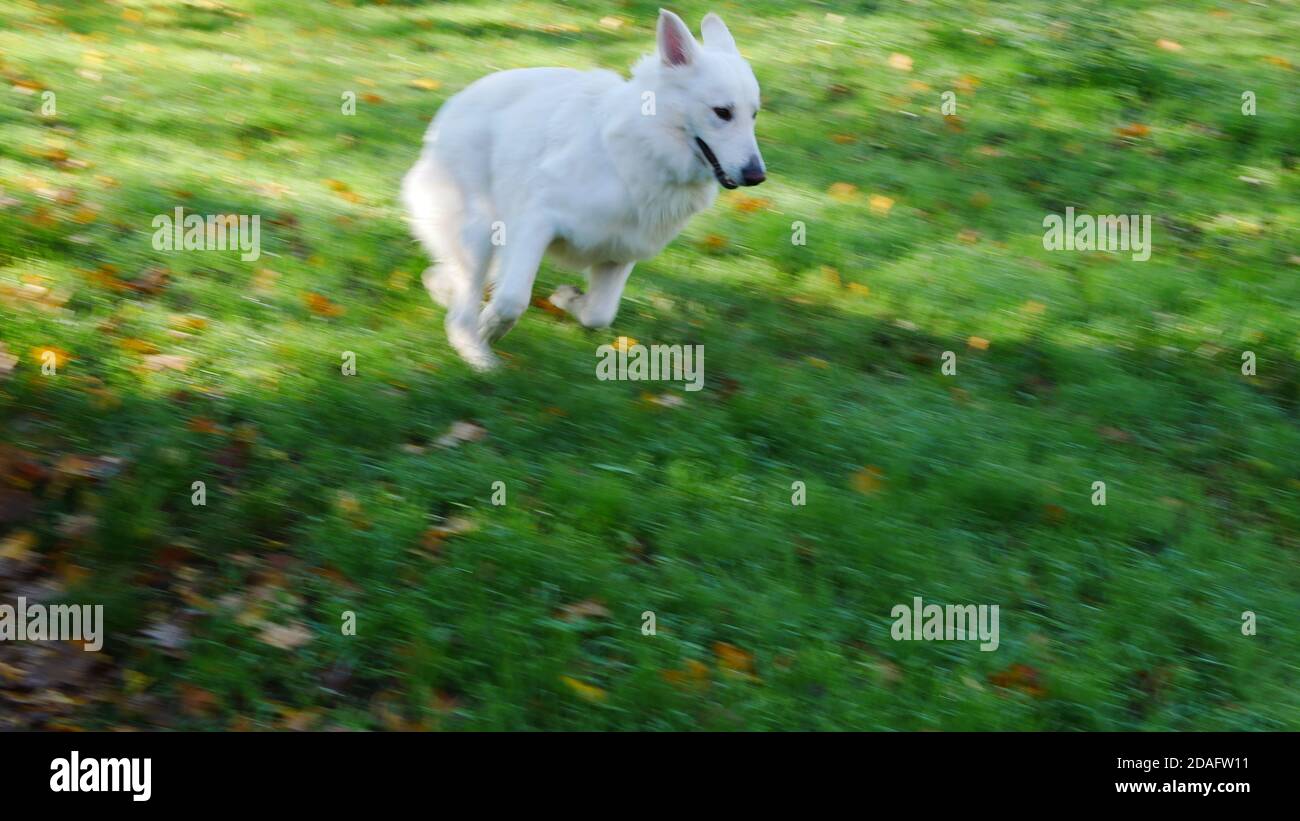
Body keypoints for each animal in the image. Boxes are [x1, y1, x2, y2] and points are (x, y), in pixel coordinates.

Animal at [397, 8, 759, 368]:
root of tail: (449, 110)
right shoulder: (535, 221)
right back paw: (476, 353)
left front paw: (567, 299)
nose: (757, 175)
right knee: (463, 307)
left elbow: (599, 314)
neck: (642, 147)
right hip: (481, 232)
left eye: (754, 114)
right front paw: (490, 328)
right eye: (722, 112)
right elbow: (512, 300)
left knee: (447, 278)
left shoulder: (619, 253)